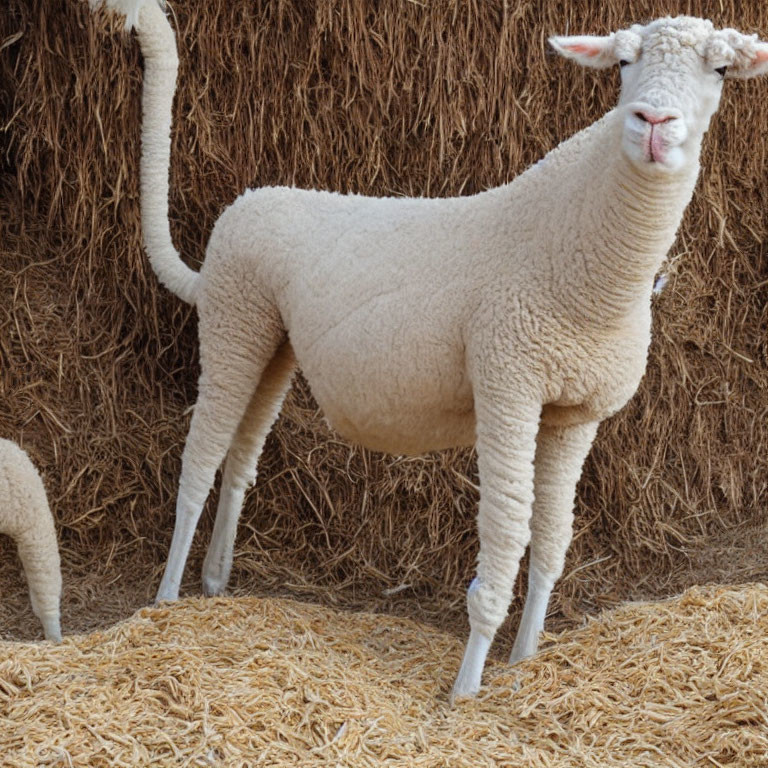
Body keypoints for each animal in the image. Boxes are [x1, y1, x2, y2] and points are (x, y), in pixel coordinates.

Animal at [90, 0, 768, 704]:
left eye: (721, 69)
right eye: (623, 62)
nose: (654, 124)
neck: (584, 261)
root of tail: (244, 207)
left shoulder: (576, 414)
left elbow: (552, 541)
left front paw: (525, 662)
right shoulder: (507, 384)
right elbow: (507, 537)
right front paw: (466, 691)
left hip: (271, 340)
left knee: (241, 456)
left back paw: (216, 584)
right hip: (231, 321)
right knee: (199, 462)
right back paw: (166, 604)